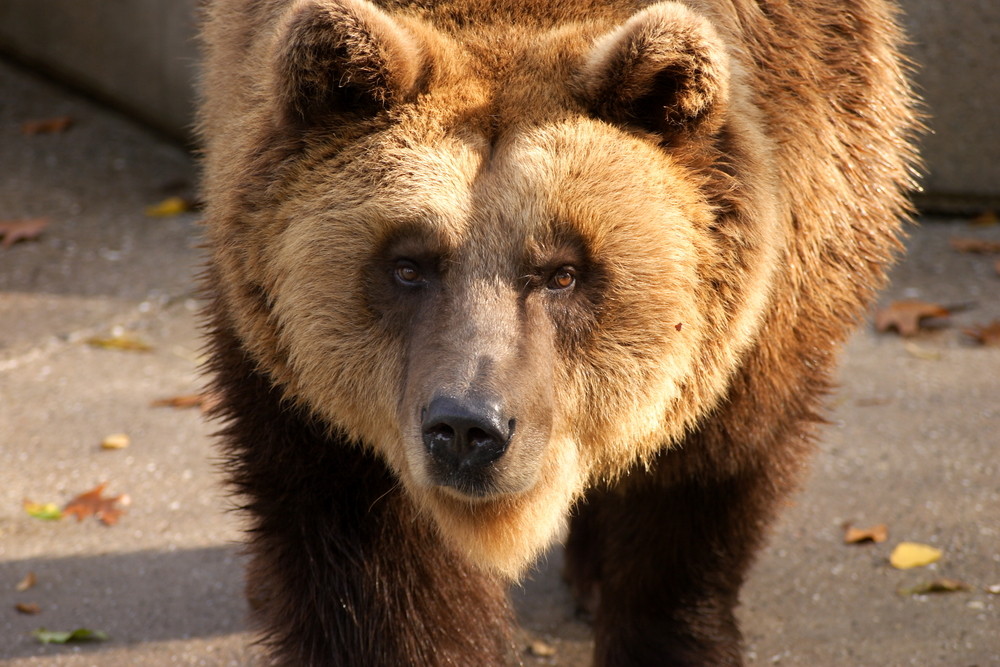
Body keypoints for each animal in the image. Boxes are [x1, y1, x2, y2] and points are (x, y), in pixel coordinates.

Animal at [197, 1, 920, 664]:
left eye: (562, 272)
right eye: (408, 264)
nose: (467, 429)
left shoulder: (783, 266)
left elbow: (698, 490)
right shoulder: (307, 379)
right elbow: (369, 560)